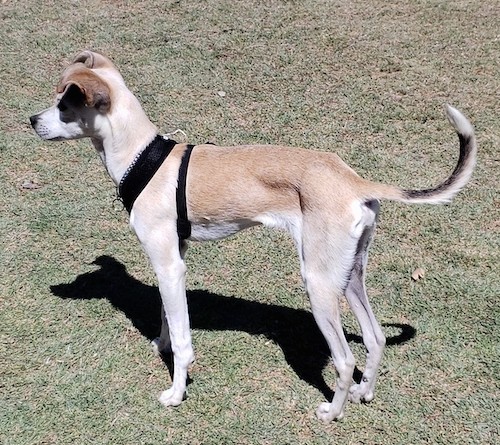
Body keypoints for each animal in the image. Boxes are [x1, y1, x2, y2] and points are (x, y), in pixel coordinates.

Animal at [30, 50, 476, 422]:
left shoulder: (169, 265)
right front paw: (161, 344)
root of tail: (354, 181)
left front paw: (176, 392)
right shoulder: (174, 259)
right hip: (349, 277)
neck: (143, 158)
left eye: (64, 105)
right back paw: (363, 393)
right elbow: (167, 317)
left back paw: (333, 412)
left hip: (318, 284)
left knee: (346, 359)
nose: (31, 121)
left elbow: (184, 338)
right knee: (375, 337)